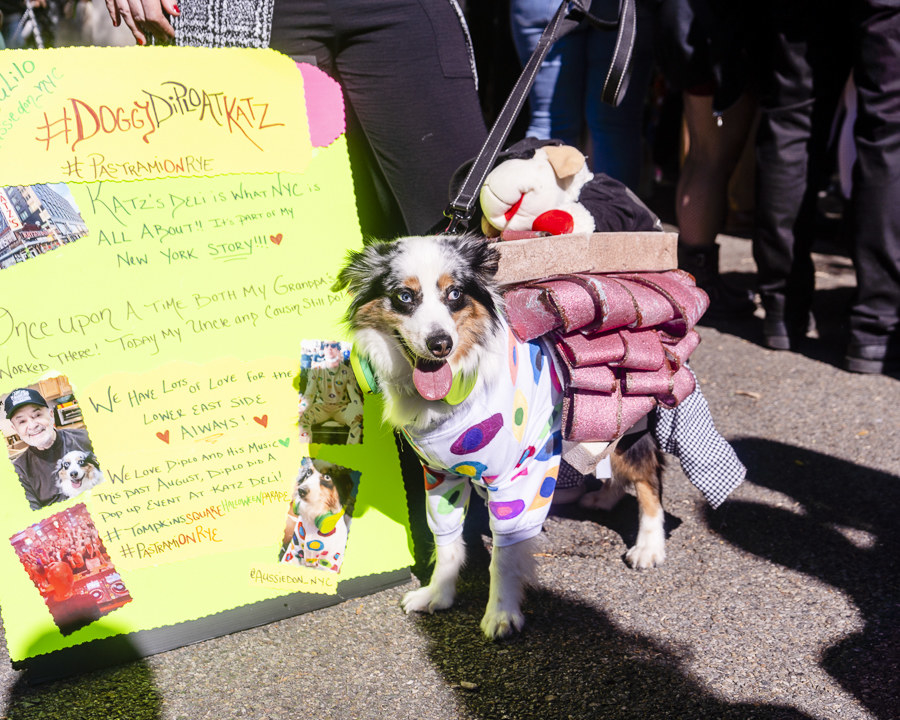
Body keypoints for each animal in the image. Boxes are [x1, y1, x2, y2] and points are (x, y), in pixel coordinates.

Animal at [334, 233, 664, 640]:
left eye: (455, 293)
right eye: (405, 296)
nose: (440, 343)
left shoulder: (518, 479)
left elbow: (503, 557)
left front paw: (502, 614)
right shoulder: (439, 475)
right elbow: (446, 540)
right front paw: (438, 594)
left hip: (623, 416)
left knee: (648, 479)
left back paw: (649, 546)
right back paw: (603, 498)